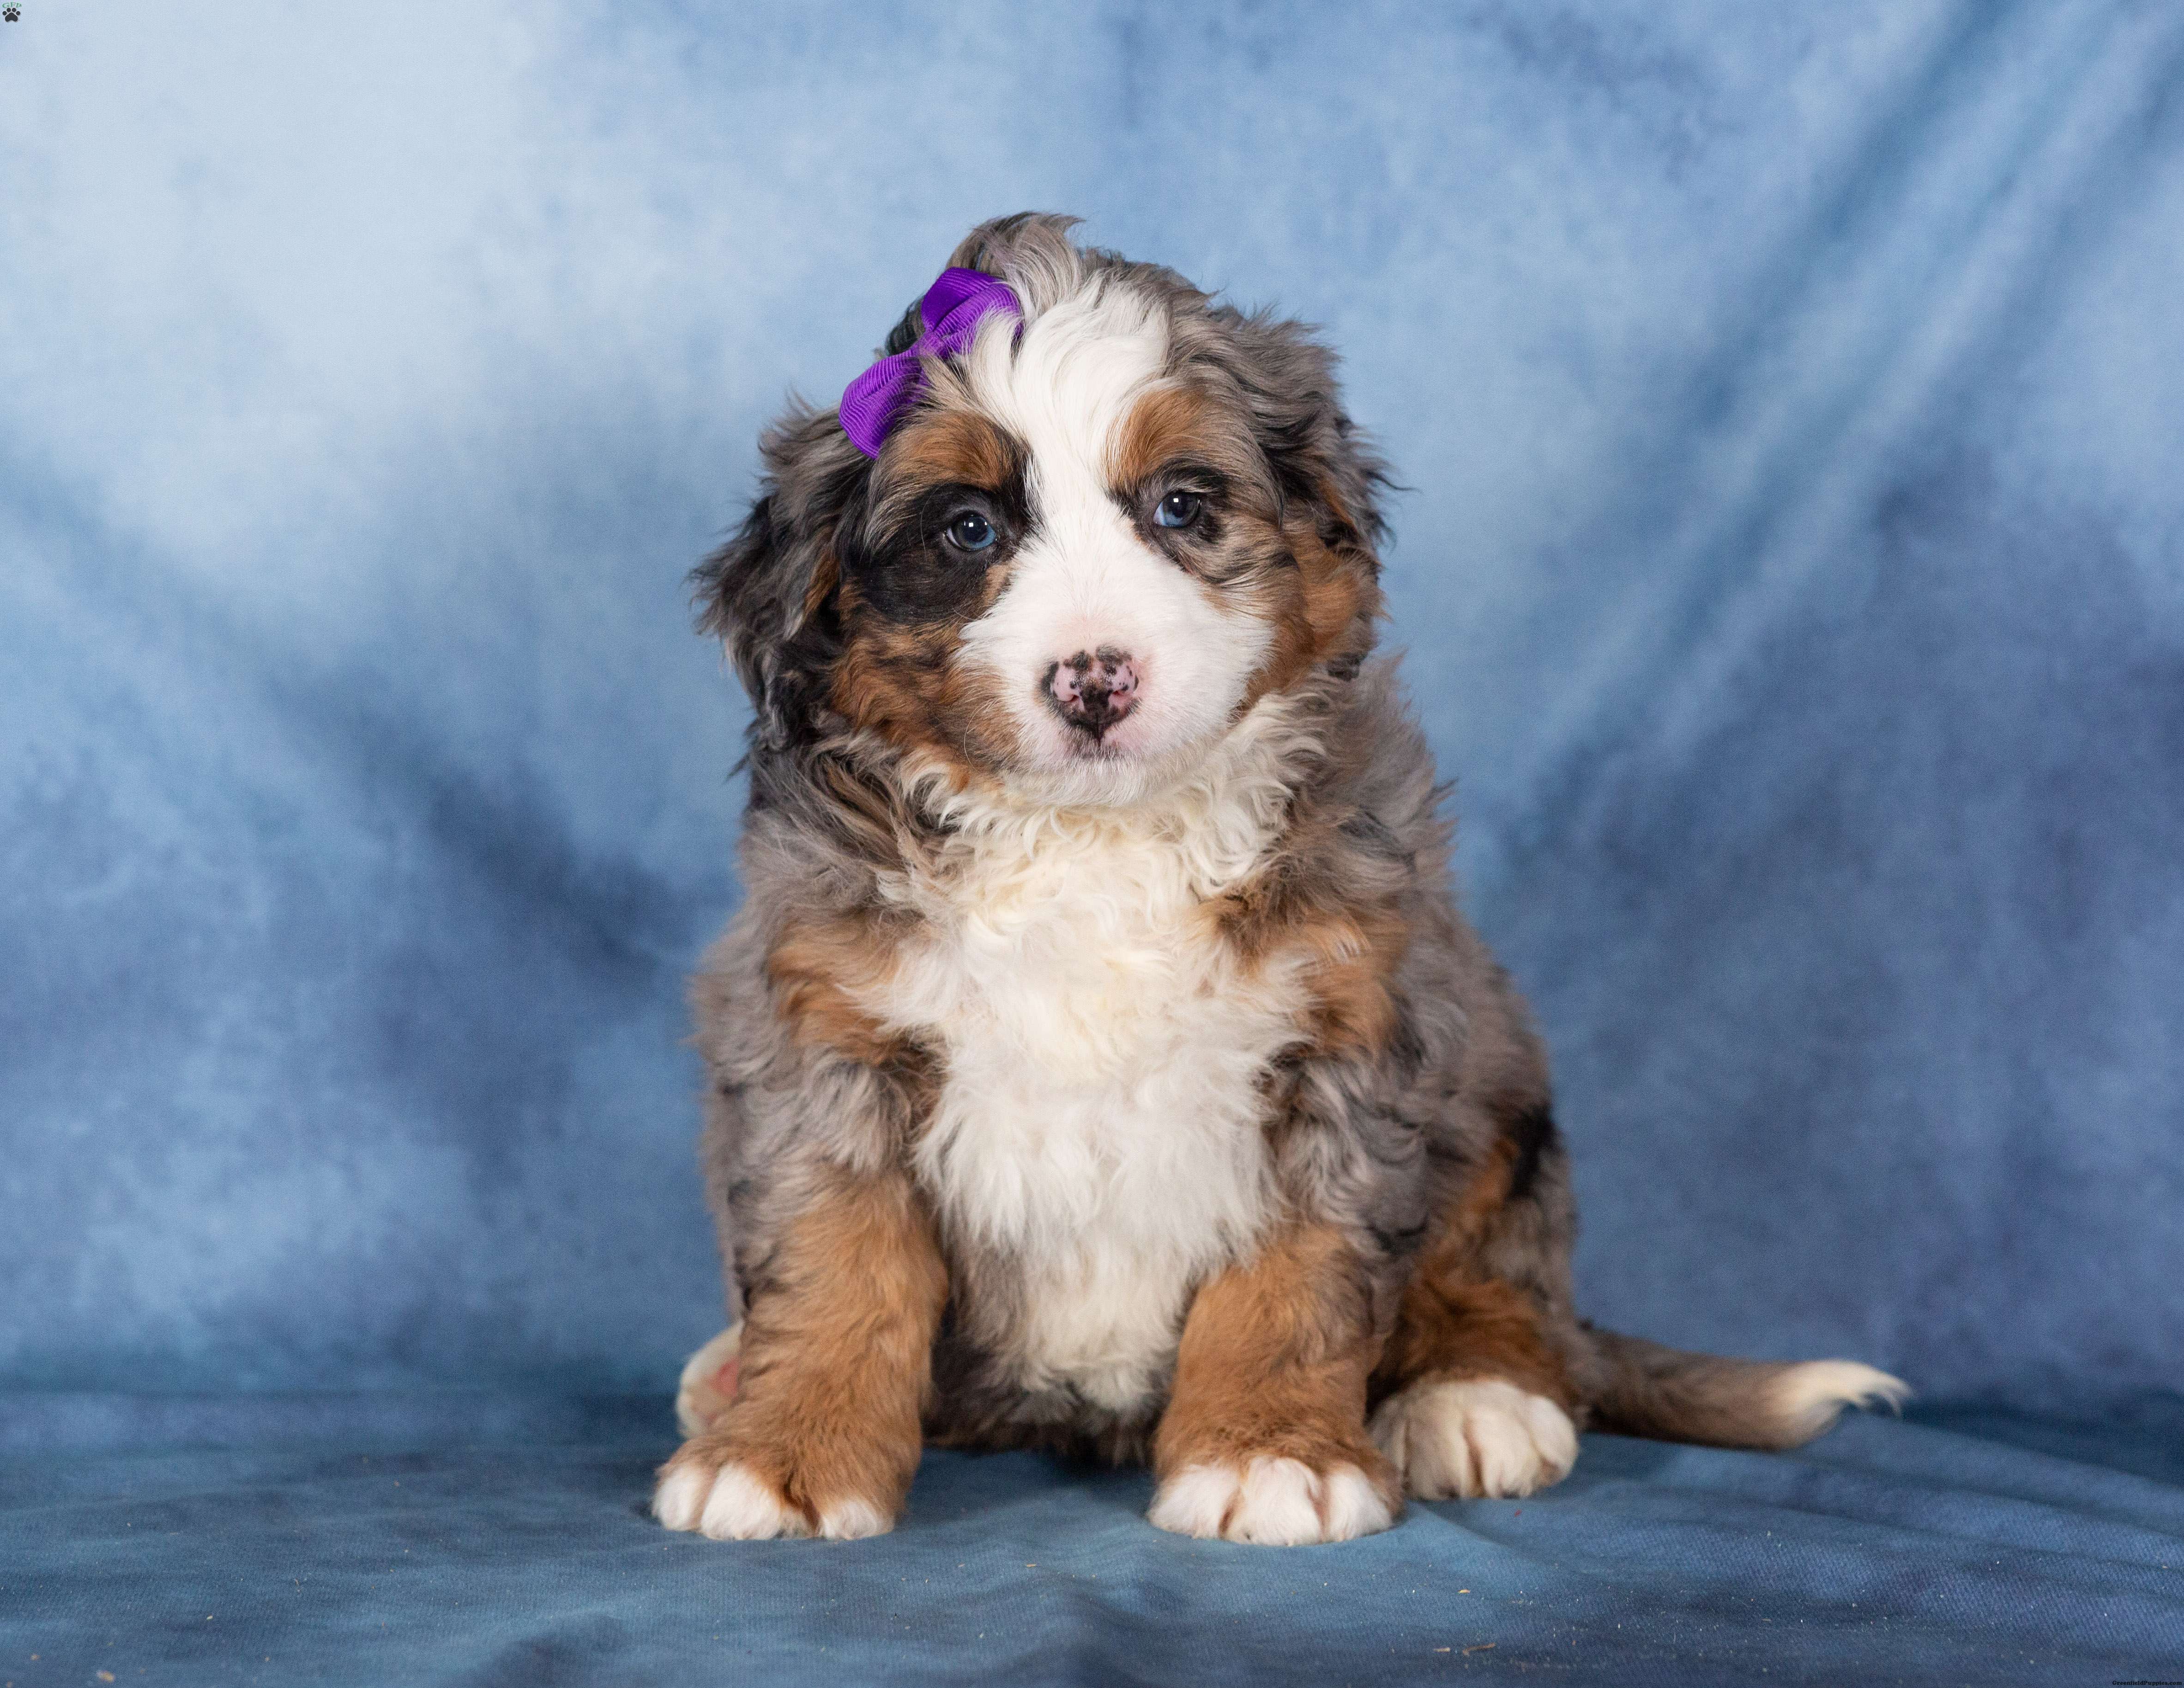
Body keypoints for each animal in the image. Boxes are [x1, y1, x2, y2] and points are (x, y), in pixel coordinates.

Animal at [652, 213, 1906, 1546]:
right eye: (968, 530)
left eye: (1180, 505)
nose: (1094, 679)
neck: (1094, 841)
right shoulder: (820, 1036)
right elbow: (833, 1259)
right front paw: (785, 1449)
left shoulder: (1349, 1032)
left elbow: (1295, 1275)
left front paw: (1267, 1451)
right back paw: (727, 1371)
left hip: (1502, 1102)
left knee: (1505, 1285)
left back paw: (1476, 1397)